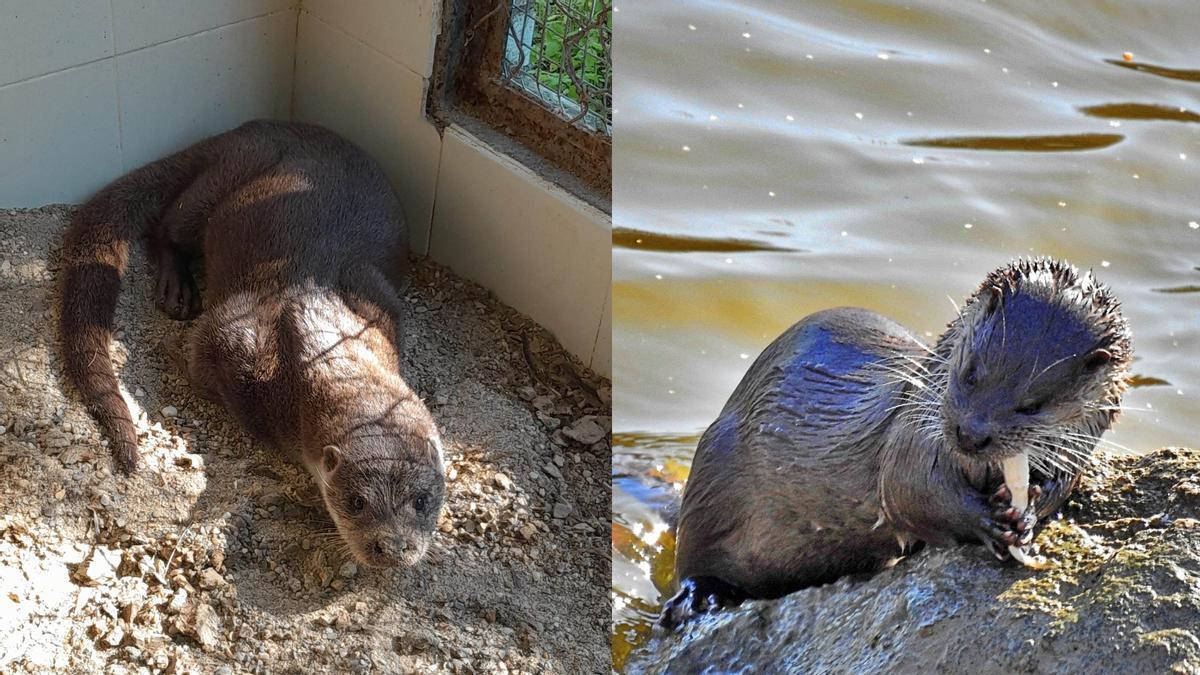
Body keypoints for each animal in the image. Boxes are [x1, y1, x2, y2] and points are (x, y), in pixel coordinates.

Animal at [59, 120, 446, 566]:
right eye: (356, 501)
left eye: (422, 500)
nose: (393, 548)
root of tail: (242, 132)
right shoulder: (236, 342)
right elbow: (199, 354)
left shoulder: (378, 307)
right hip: (222, 180)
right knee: (168, 226)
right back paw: (176, 287)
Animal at [662, 255, 1128, 624]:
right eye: (972, 373)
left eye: (1034, 405)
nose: (971, 434)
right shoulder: (911, 435)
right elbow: (910, 490)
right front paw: (988, 522)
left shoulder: (1076, 450)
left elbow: (1061, 484)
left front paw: (1028, 513)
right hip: (712, 474)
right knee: (691, 556)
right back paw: (699, 596)